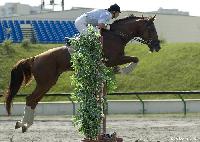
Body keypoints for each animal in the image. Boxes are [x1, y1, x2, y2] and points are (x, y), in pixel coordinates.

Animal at [4, 14, 161, 132]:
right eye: (151, 29)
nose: (157, 46)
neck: (117, 35)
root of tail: (34, 58)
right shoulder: (113, 59)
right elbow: (135, 58)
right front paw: (125, 70)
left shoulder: (113, 60)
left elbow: (134, 59)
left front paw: (119, 70)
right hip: (45, 82)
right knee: (30, 99)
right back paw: (23, 124)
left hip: (48, 83)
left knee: (34, 100)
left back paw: (24, 125)